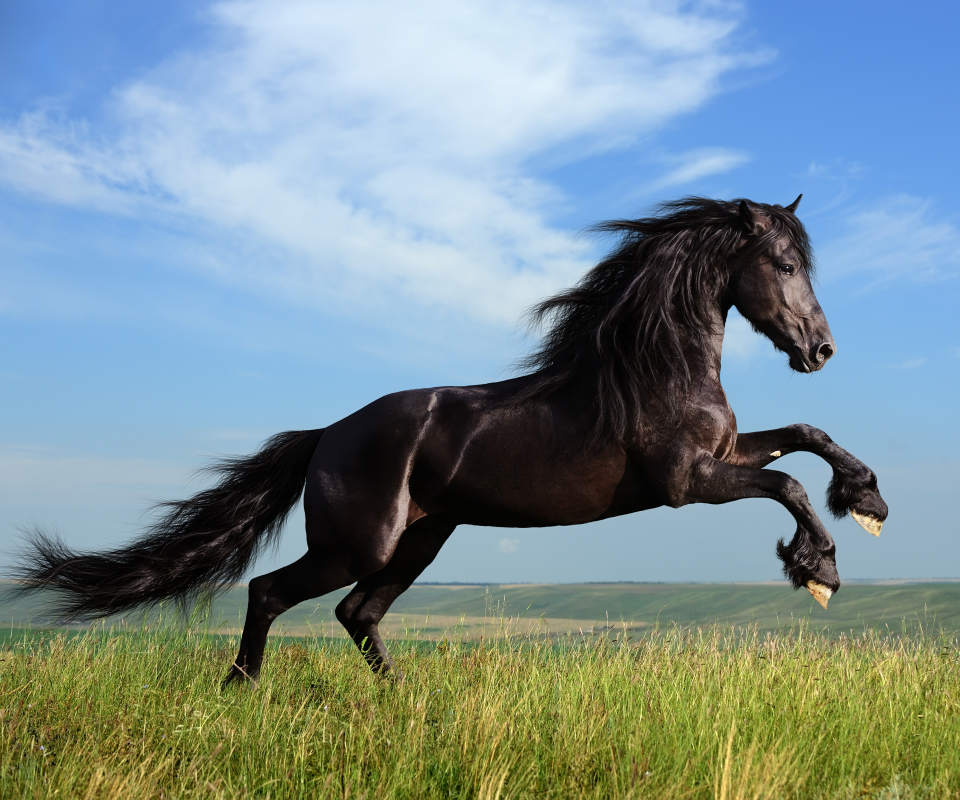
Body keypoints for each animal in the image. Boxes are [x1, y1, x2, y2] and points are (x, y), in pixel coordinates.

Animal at [15, 195, 888, 680]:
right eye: (783, 265)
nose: (820, 350)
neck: (655, 369)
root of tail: (326, 435)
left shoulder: (721, 456)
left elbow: (805, 434)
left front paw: (867, 500)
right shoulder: (686, 482)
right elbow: (786, 482)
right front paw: (818, 569)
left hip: (422, 539)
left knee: (358, 614)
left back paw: (401, 701)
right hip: (357, 543)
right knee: (273, 593)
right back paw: (241, 690)